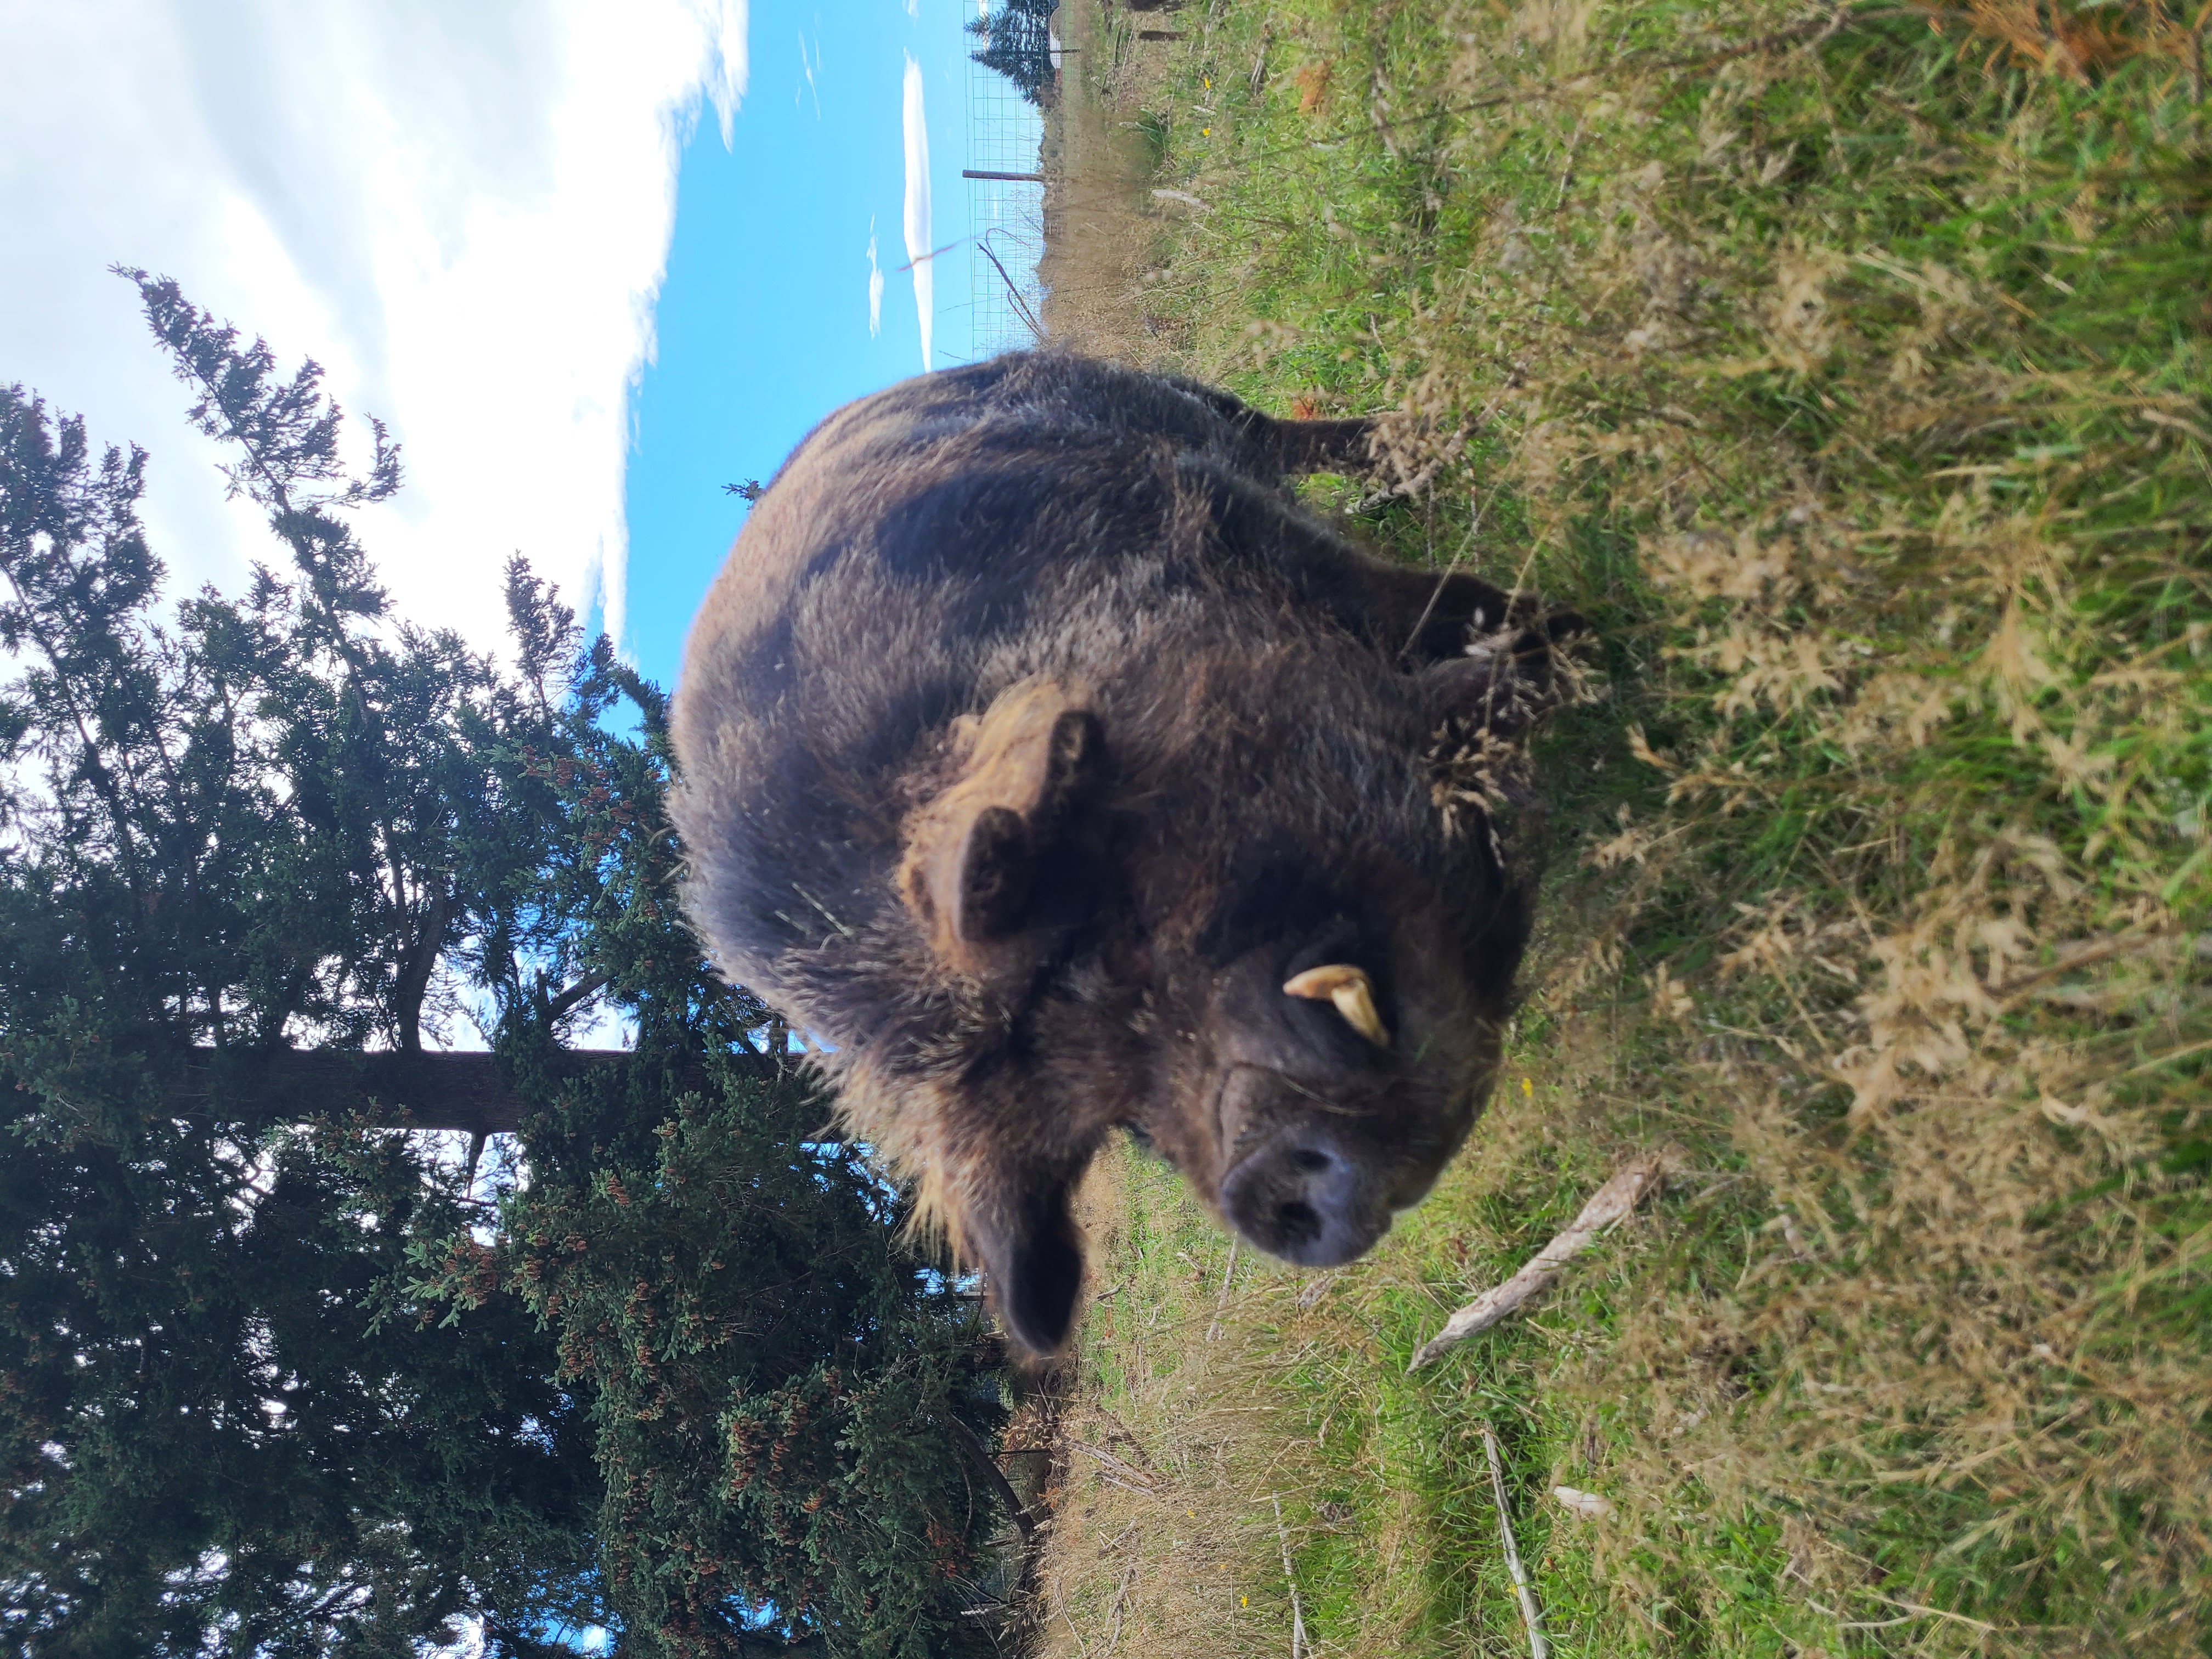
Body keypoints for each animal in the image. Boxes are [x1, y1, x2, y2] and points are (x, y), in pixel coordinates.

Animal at [669, 352, 1576, 1353]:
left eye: (1107, 922)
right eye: (1123, 1120)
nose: (1256, 1179)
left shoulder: (1216, 512)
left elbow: (1414, 604)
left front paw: (1575, 633)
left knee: (1276, 436)